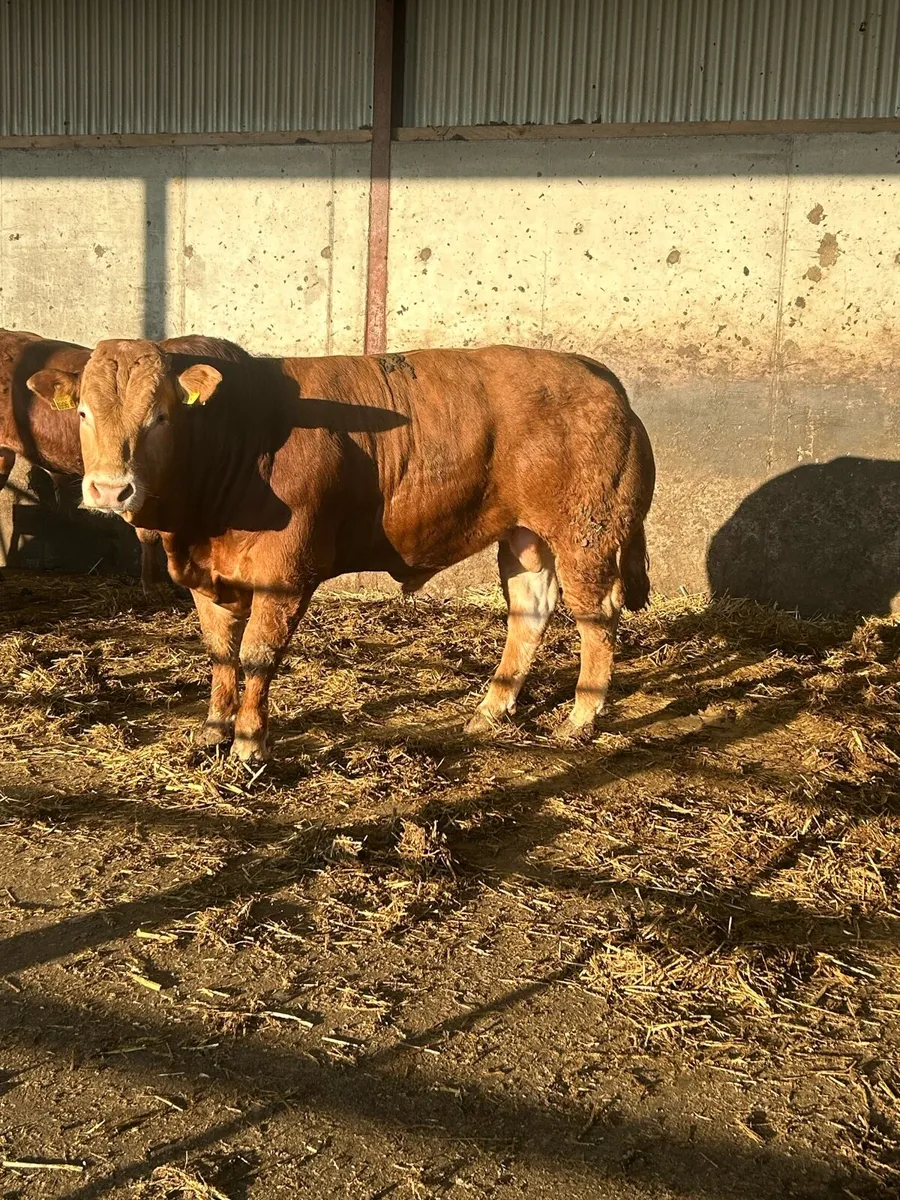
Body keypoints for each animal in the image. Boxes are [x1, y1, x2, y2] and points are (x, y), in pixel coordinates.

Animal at [27, 340, 655, 761]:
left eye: (159, 415)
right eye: (82, 412)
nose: (110, 489)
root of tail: (600, 377)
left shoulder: (285, 573)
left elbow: (257, 655)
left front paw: (249, 744)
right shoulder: (207, 577)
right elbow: (221, 655)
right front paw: (213, 729)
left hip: (586, 532)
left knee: (597, 618)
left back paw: (580, 717)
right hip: (525, 536)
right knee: (530, 611)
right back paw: (490, 709)